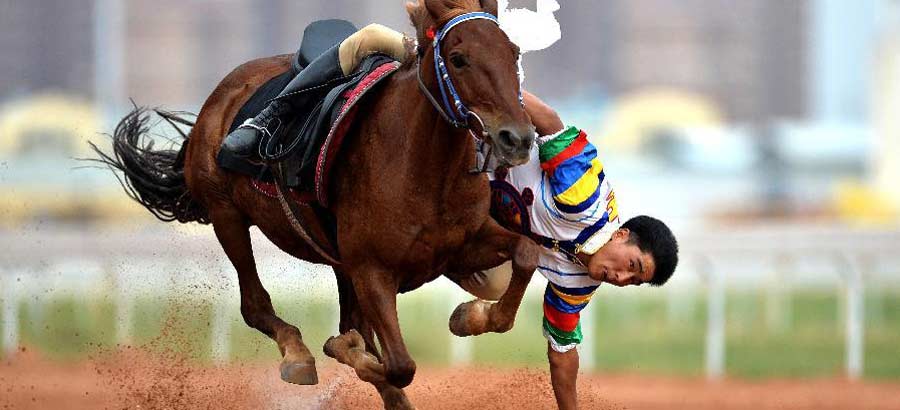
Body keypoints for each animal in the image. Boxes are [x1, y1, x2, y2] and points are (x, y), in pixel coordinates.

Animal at [94, 1, 536, 408]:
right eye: (458, 59)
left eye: (514, 52)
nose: (517, 137)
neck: (425, 168)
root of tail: (221, 96)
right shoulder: (371, 269)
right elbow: (395, 364)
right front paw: (342, 349)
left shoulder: (461, 246)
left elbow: (525, 254)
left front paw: (471, 316)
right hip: (226, 214)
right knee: (255, 305)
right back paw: (298, 355)